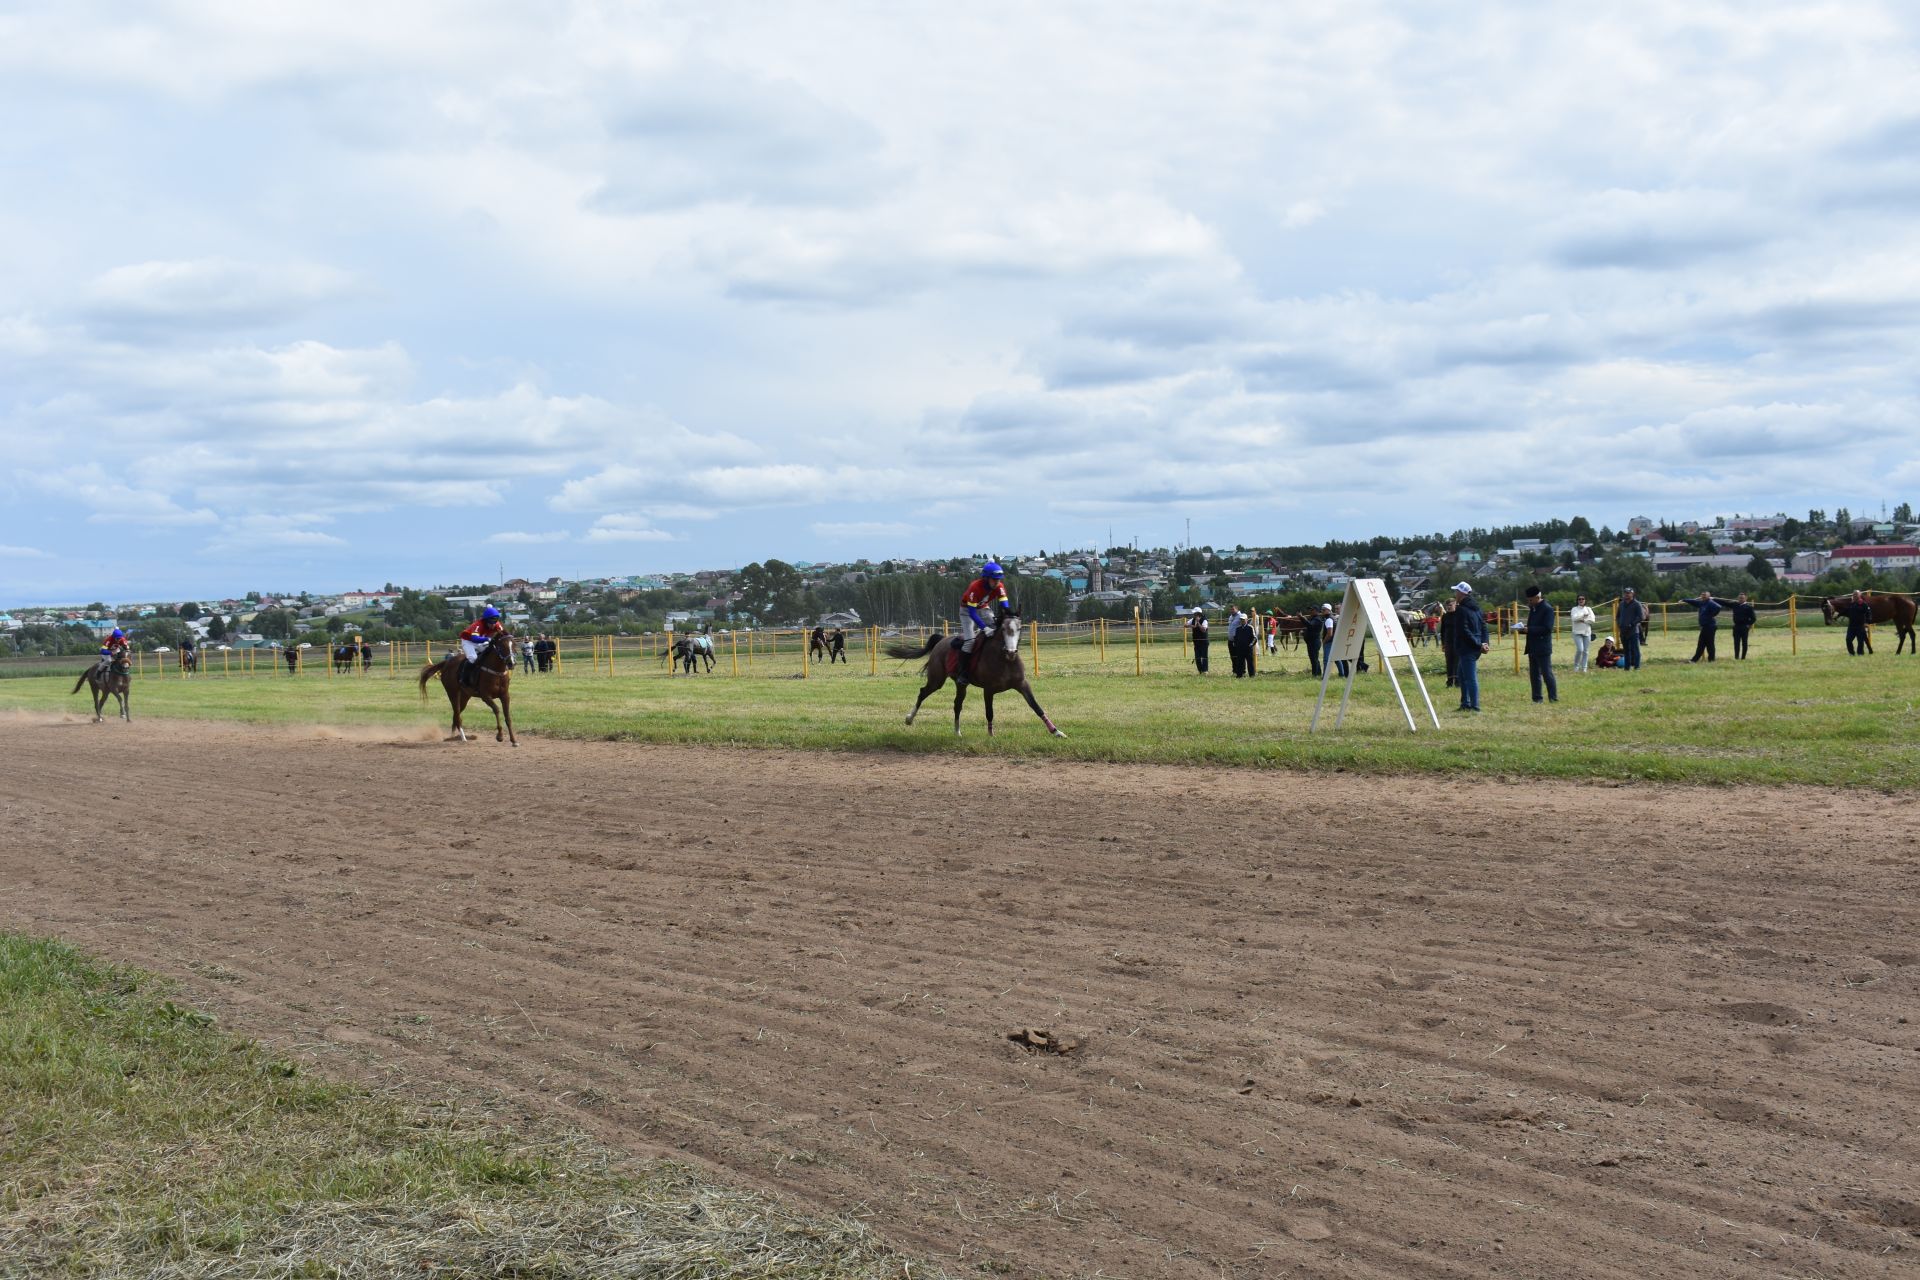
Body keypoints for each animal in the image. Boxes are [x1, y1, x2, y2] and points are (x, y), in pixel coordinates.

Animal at [883, 610, 1067, 740]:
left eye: (1020, 628)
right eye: (1003, 629)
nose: (1011, 652)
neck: (1004, 660)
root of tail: (941, 640)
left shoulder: (1022, 684)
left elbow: (1036, 707)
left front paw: (1056, 731)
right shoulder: (989, 689)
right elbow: (989, 712)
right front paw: (991, 735)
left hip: (960, 684)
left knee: (957, 704)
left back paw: (957, 732)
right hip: (937, 679)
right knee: (923, 692)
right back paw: (909, 719)